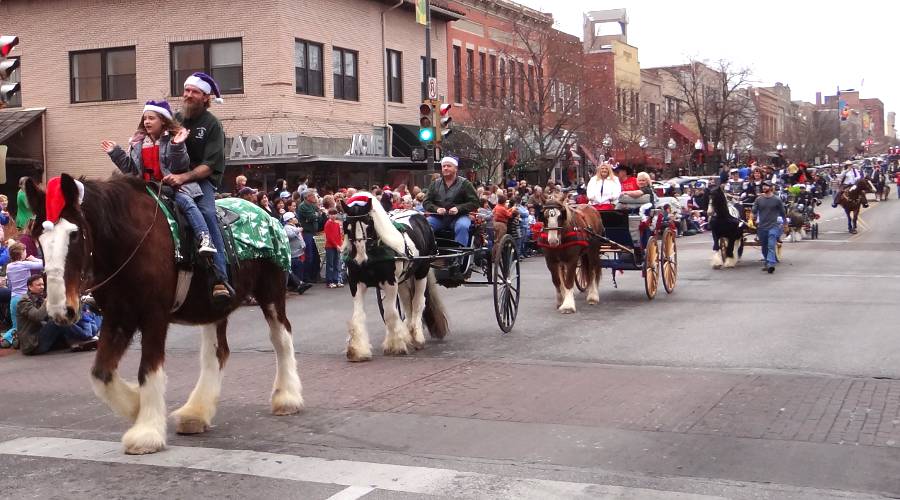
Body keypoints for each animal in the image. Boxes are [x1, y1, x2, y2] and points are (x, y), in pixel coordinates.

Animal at [24, 174, 304, 456]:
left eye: (74, 234)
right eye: (38, 237)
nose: (62, 310)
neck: (131, 241)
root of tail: (266, 215)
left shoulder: (153, 316)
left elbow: (148, 370)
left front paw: (146, 432)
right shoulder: (118, 317)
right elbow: (101, 373)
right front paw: (136, 406)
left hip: (271, 294)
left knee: (281, 338)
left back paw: (287, 398)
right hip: (214, 307)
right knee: (217, 353)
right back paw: (196, 413)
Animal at [340, 193, 448, 362]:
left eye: (369, 225)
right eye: (347, 227)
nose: (360, 261)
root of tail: (418, 215)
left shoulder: (390, 283)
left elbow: (390, 313)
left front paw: (395, 345)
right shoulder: (356, 284)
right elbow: (358, 316)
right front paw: (357, 350)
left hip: (421, 271)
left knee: (418, 302)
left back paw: (417, 336)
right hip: (403, 279)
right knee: (407, 302)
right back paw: (408, 333)